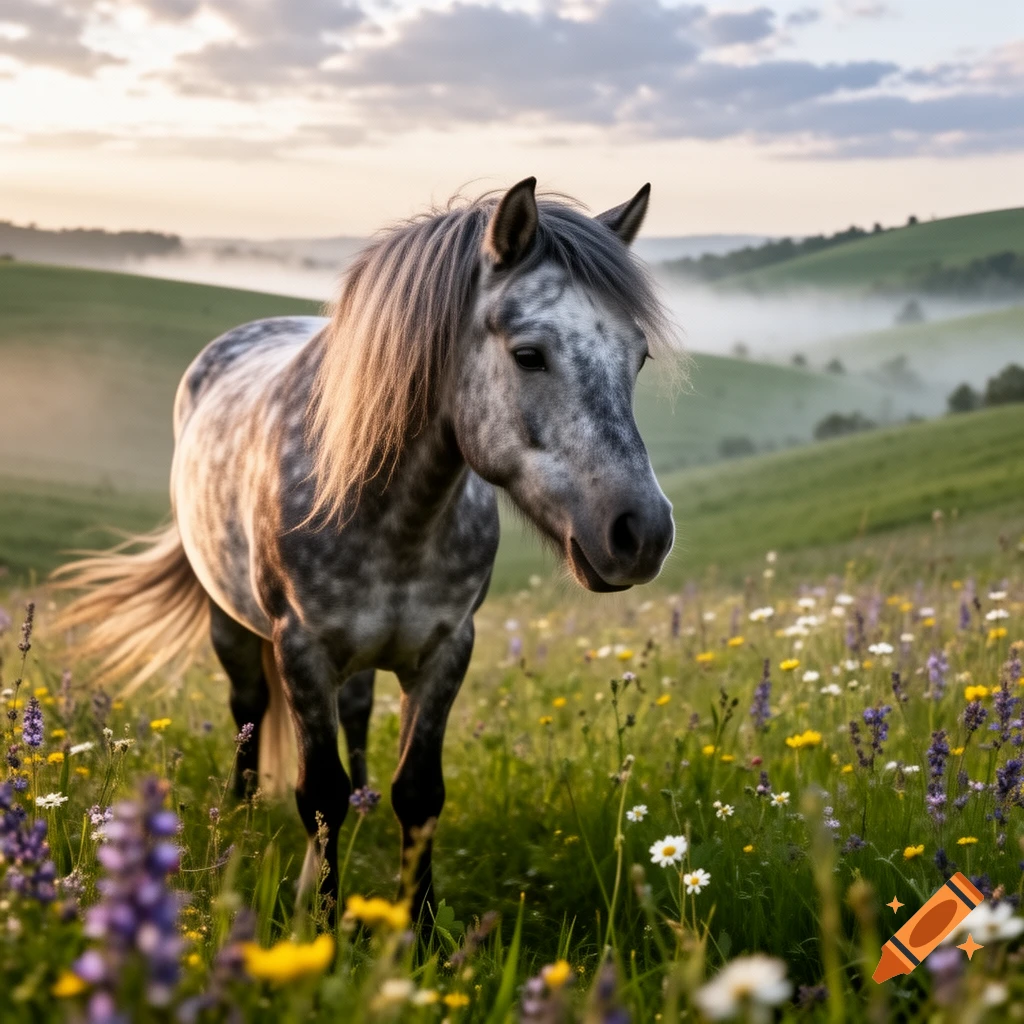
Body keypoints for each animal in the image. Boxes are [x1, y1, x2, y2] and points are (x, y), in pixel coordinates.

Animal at [53, 177, 678, 920]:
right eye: (529, 353)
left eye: (638, 357)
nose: (641, 533)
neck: (391, 515)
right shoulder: (301, 649)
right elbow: (317, 796)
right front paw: (323, 919)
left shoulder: (446, 650)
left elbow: (420, 792)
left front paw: (422, 928)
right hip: (231, 625)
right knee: (247, 709)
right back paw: (240, 811)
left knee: (353, 716)